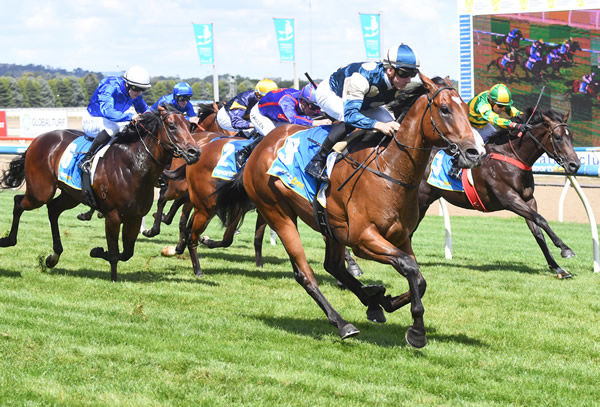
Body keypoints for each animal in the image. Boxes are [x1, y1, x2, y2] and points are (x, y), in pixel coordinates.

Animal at [0, 107, 202, 282]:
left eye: (189, 126)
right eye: (172, 126)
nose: (195, 152)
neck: (134, 166)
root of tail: (37, 140)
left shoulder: (135, 217)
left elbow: (127, 253)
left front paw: (97, 252)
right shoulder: (112, 215)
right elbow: (114, 252)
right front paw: (113, 277)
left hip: (70, 196)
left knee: (53, 209)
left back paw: (53, 257)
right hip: (40, 192)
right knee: (18, 202)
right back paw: (8, 240)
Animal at [213, 72, 486, 348]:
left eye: (466, 109)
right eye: (444, 109)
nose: (475, 152)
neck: (389, 168)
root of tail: (258, 148)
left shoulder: (400, 237)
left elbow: (419, 280)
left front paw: (386, 301)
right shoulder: (363, 238)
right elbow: (409, 267)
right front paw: (416, 331)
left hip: (331, 226)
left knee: (333, 266)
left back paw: (372, 301)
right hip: (277, 213)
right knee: (305, 273)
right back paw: (343, 323)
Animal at [414, 108, 580, 278]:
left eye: (571, 137)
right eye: (558, 137)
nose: (575, 165)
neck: (512, 157)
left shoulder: (529, 200)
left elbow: (537, 231)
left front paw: (558, 268)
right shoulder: (510, 199)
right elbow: (541, 220)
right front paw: (565, 249)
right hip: (420, 199)